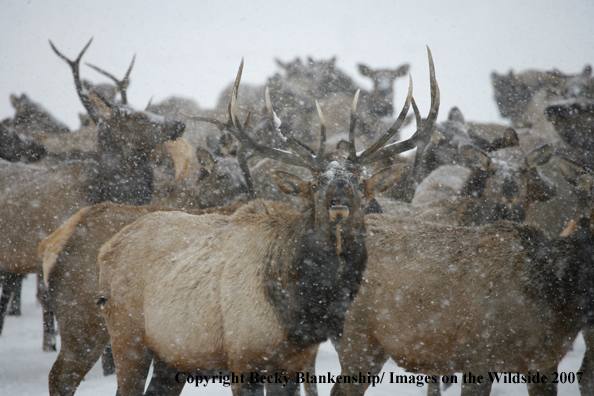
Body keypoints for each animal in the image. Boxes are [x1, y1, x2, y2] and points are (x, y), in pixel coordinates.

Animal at [97, 49, 438, 396]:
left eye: (360, 182)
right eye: (314, 184)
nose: (338, 203)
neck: (299, 313)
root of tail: (107, 247)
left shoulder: (292, 363)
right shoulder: (242, 357)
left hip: (173, 353)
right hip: (127, 334)